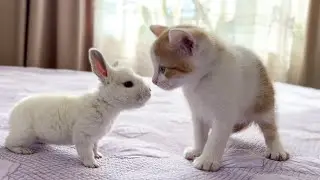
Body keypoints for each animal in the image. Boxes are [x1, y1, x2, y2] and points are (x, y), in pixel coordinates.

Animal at [149, 24, 288, 172]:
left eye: (163, 69)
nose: (153, 81)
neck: (200, 82)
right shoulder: (198, 113)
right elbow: (199, 133)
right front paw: (197, 150)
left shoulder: (224, 115)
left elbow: (216, 138)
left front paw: (207, 160)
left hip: (263, 101)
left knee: (270, 128)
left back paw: (276, 150)